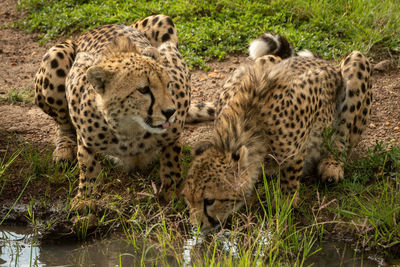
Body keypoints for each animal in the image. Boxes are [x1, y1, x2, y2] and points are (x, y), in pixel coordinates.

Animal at [34, 14, 194, 218]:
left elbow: (172, 155)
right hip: (55, 57)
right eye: (143, 89)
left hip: (162, 20)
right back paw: (64, 149)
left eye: (168, 85)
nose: (170, 112)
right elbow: (86, 161)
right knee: (63, 124)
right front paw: (85, 197)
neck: (132, 129)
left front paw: (172, 188)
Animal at [183, 33, 374, 231]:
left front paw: (286, 201)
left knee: (343, 137)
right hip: (265, 59)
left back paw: (331, 165)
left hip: (357, 61)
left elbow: (292, 170)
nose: (196, 227)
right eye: (188, 199)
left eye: (209, 200)